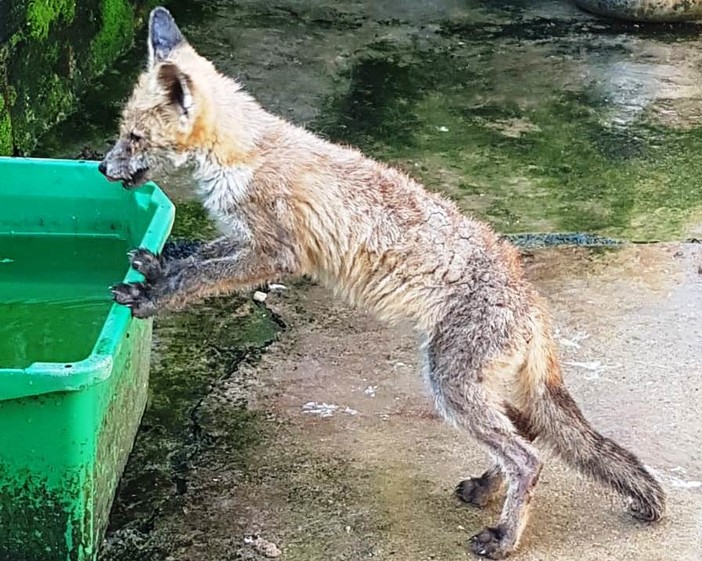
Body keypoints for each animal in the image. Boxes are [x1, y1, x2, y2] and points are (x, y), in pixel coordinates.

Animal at [99, 7, 665, 559]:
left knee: (528, 458)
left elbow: (197, 276)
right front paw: (156, 265)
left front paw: (147, 296)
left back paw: (504, 537)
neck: (241, 155)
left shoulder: (275, 253)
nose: (103, 167)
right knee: (523, 436)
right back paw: (488, 488)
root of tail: (530, 297)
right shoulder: (245, 240)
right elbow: (195, 258)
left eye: (134, 138)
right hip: (476, 389)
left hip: (451, 385)